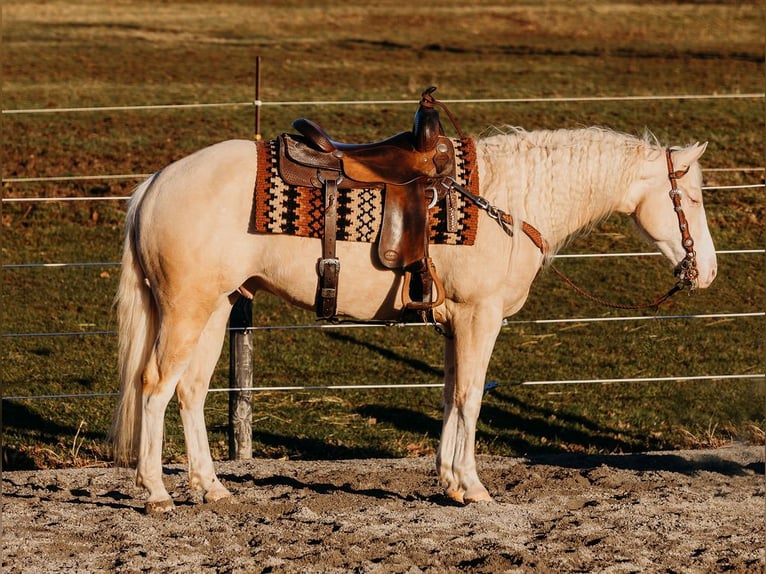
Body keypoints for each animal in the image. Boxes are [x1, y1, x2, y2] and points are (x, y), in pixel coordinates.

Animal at [111, 126, 717, 513]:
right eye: (688, 196)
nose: (707, 271)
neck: (509, 203)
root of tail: (155, 184)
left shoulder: (457, 324)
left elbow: (451, 395)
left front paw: (448, 481)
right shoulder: (479, 318)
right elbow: (471, 396)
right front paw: (472, 486)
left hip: (216, 309)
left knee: (190, 391)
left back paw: (210, 487)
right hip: (186, 309)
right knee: (155, 386)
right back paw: (156, 493)